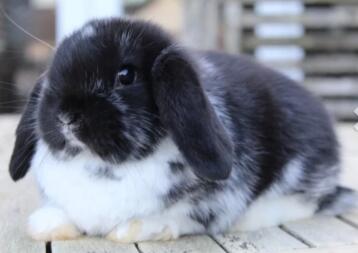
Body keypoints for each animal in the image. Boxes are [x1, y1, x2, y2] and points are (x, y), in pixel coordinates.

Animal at [8, 18, 356, 242]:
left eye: (125, 75)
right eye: (53, 72)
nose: (65, 116)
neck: (102, 167)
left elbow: (184, 218)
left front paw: (135, 229)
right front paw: (46, 225)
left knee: (307, 201)